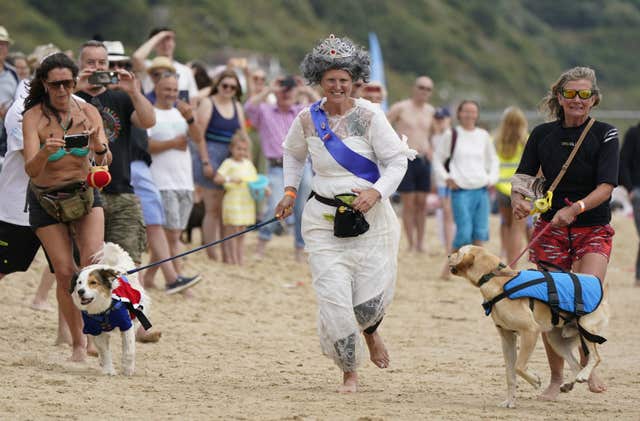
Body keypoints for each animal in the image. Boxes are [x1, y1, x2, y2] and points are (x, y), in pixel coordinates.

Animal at [71, 241, 155, 376]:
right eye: (79, 283)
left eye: (93, 283)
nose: (80, 291)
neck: (104, 310)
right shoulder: (95, 330)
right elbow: (104, 351)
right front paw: (109, 370)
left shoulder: (126, 324)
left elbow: (129, 349)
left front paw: (127, 369)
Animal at [448, 246, 608, 406]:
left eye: (459, 252)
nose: (449, 254)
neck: (494, 277)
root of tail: (603, 297)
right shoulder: (507, 339)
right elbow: (510, 374)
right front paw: (509, 402)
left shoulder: (530, 331)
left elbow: (519, 366)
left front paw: (535, 381)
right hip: (555, 340)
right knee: (576, 365)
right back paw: (568, 384)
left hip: (585, 328)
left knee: (596, 358)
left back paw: (583, 375)